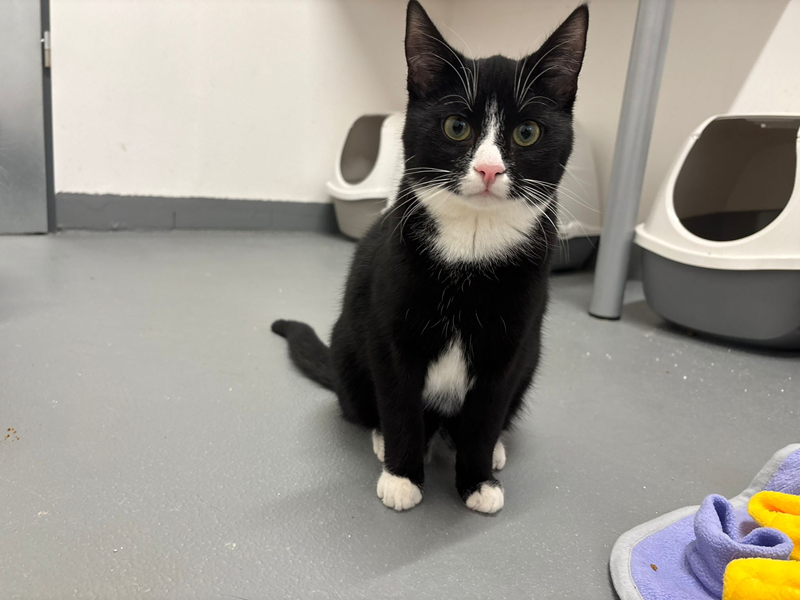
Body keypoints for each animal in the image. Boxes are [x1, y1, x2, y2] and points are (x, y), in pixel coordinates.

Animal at [273, 0, 588, 513]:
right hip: (348, 342)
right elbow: (399, 400)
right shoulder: (390, 327)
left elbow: (486, 412)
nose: (489, 169)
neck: (472, 246)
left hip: (532, 355)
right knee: (369, 404)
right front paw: (402, 474)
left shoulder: (511, 343)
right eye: (456, 127)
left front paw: (477, 479)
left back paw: (490, 449)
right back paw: (386, 439)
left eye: (527, 132)